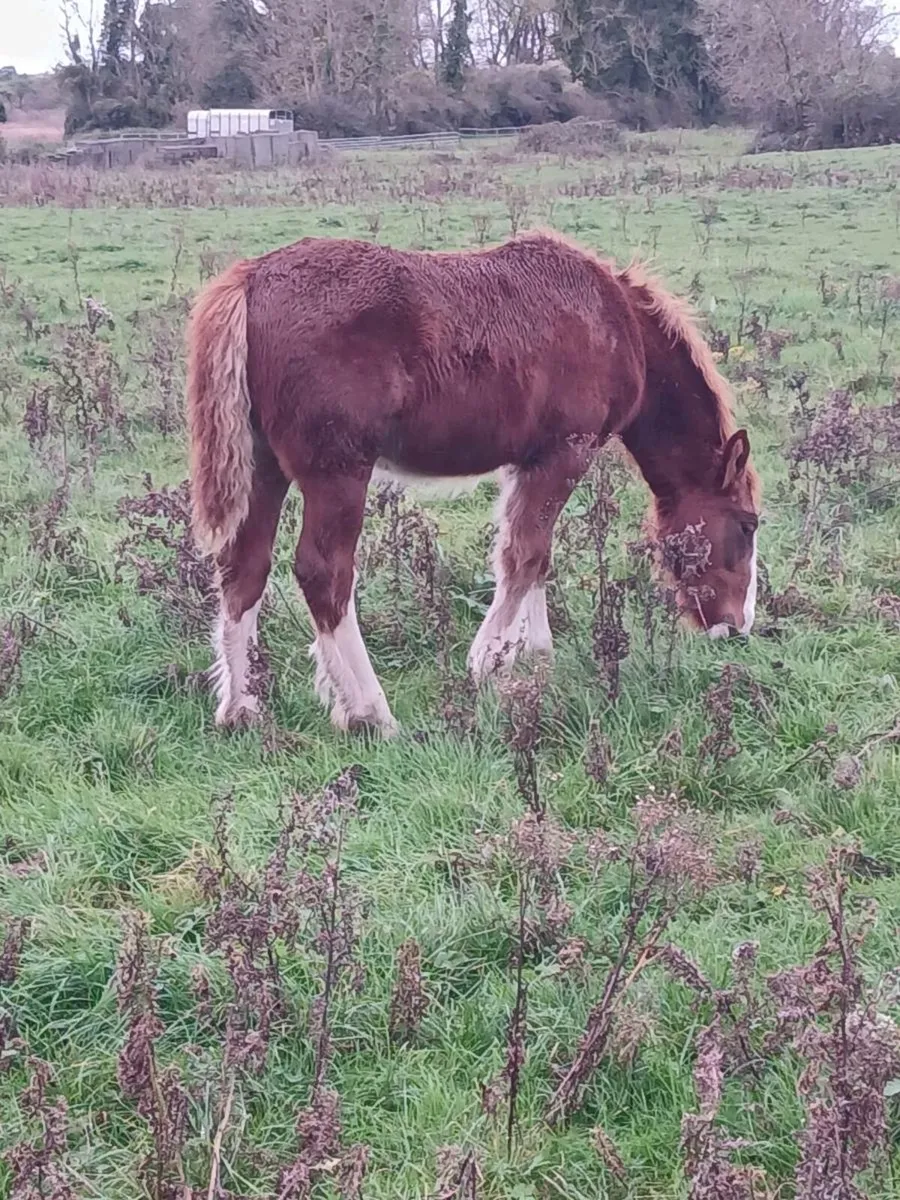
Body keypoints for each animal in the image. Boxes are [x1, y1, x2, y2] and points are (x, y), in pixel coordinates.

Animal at [186, 230, 761, 736]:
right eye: (748, 525)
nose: (737, 626)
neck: (614, 319)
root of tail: (251, 280)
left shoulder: (527, 462)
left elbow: (534, 555)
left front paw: (534, 654)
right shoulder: (565, 452)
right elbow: (525, 555)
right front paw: (486, 659)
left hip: (264, 466)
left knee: (244, 566)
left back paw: (240, 709)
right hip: (338, 470)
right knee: (324, 573)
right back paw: (371, 713)